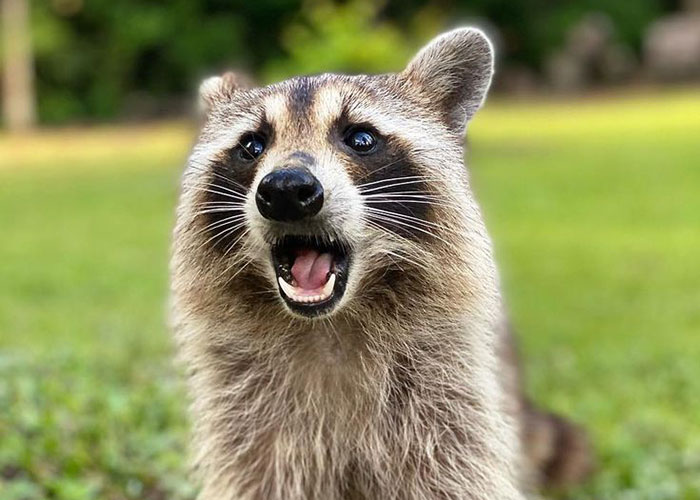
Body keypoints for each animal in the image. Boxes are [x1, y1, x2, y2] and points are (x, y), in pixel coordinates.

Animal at [170, 28, 592, 500]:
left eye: (360, 139)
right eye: (252, 145)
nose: (285, 188)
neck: (328, 325)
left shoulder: (447, 397)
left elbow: (456, 471)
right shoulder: (244, 413)